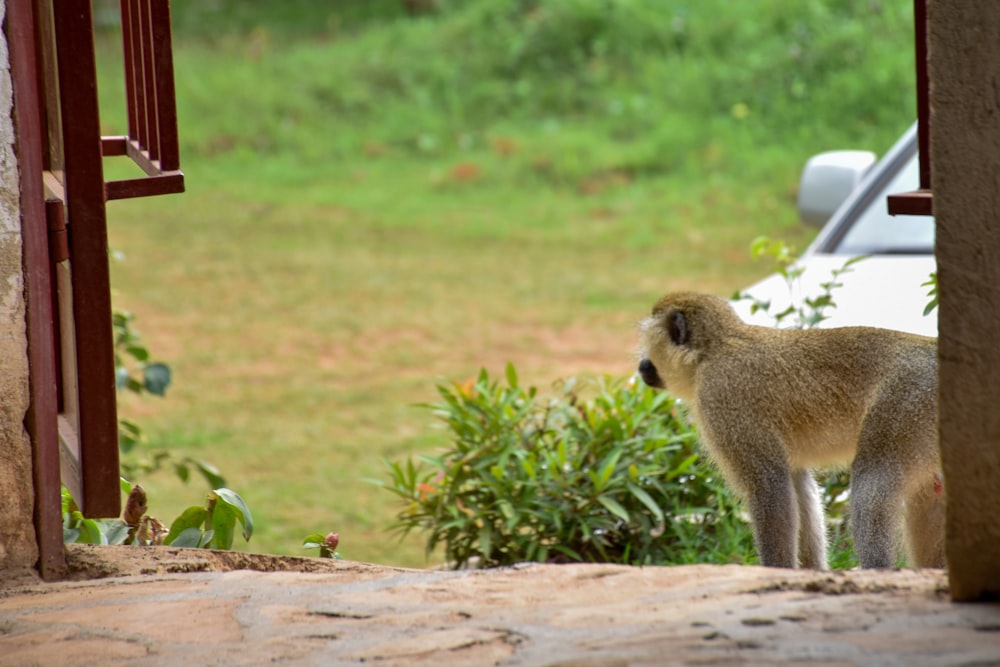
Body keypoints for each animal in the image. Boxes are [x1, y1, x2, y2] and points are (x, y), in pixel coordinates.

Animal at [636, 292, 940, 568]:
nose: (642, 365)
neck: (713, 350)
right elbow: (798, 483)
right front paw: (813, 572)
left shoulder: (720, 400)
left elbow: (770, 487)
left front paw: (776, 570)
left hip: (908, 403)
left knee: (873, 481)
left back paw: (878, 570)